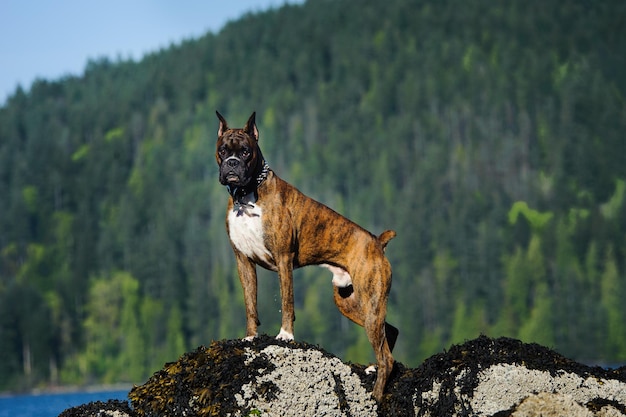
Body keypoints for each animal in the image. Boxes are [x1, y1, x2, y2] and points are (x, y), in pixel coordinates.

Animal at [217, 110, 398, 400]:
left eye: (245, 152)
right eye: (223, 151)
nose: (231, 163)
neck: (246, 196)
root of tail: (377, 242)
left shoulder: (283, 260)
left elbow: (287, 301)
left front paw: (285, 336)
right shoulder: (243, 261)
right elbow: (250, 303)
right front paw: (250, 337)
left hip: (370, 301)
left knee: (386, 358)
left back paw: (376, 395)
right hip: (350, 301)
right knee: (388, 332)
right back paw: (372, 368)